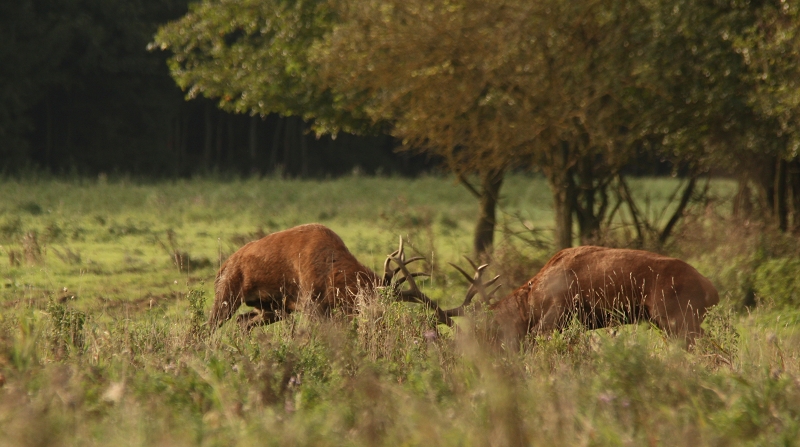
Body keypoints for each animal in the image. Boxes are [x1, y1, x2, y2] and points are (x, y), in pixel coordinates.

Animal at [209, 224, 460, 332]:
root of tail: (224, 265)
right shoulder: (309, 303)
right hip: (227, 294)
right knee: (209, 325)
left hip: (272, 308)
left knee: (243, 321)